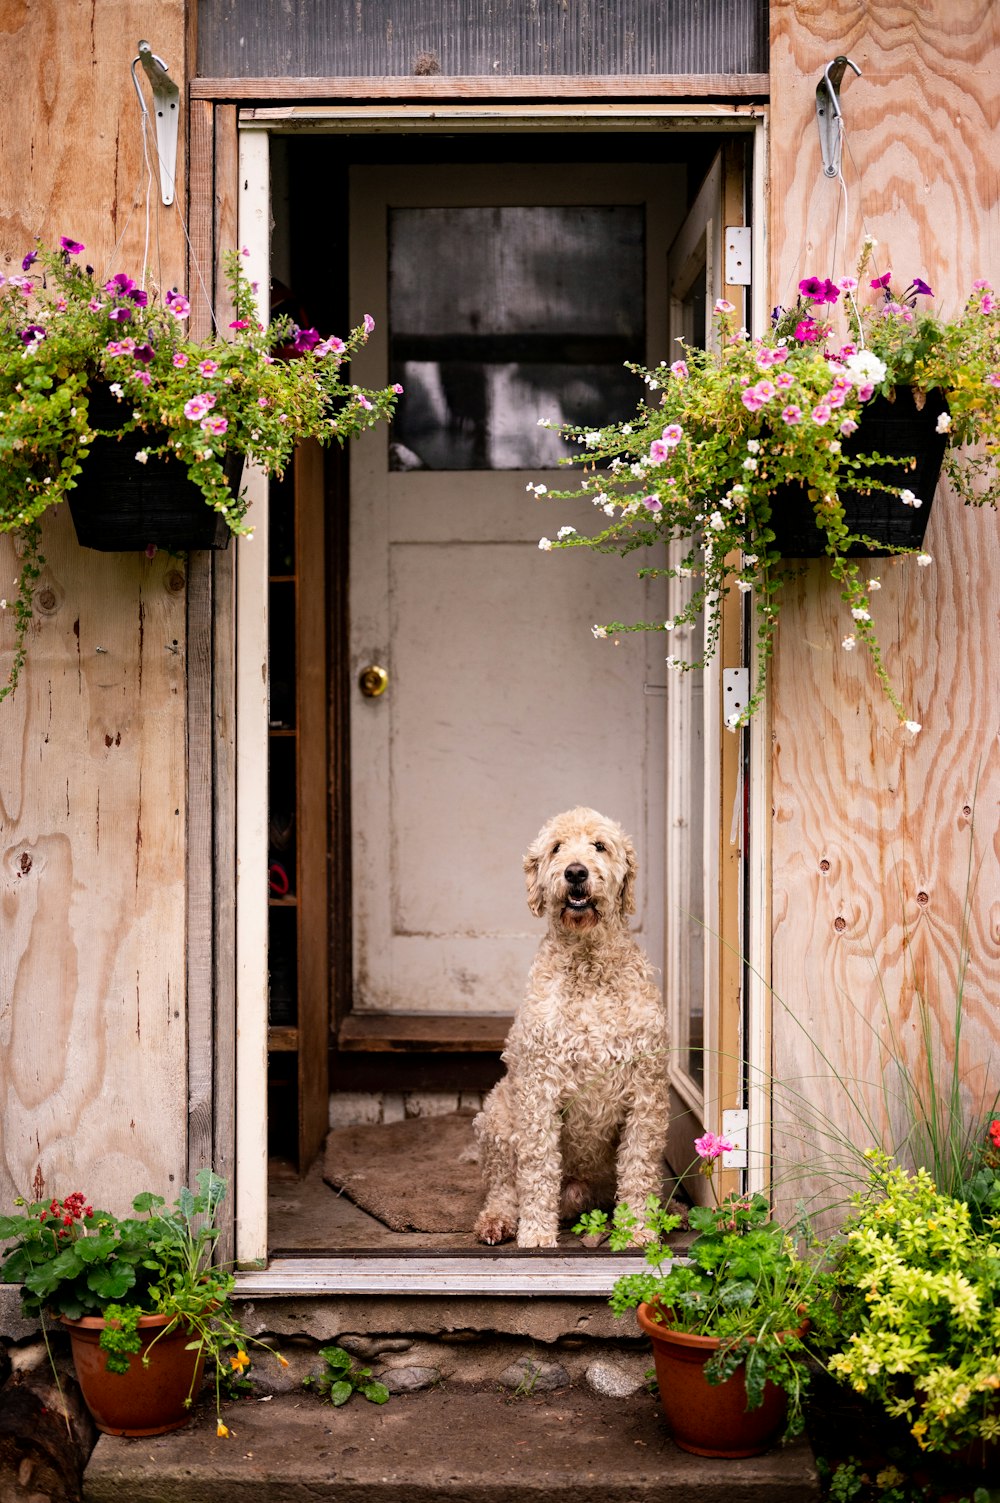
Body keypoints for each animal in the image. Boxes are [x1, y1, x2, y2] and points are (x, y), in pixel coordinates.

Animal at [472, 805, 667, 1250]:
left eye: (600, 845)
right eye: (556, 847)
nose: (575, 872)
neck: (588, 961)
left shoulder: (645, 1092)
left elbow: (639, 1165)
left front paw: (639, 1229)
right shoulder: (540, 1090)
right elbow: (538, 1166)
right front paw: (536, 1235)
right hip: (497, 1115)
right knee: (503, 1187)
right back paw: (498, 1221)